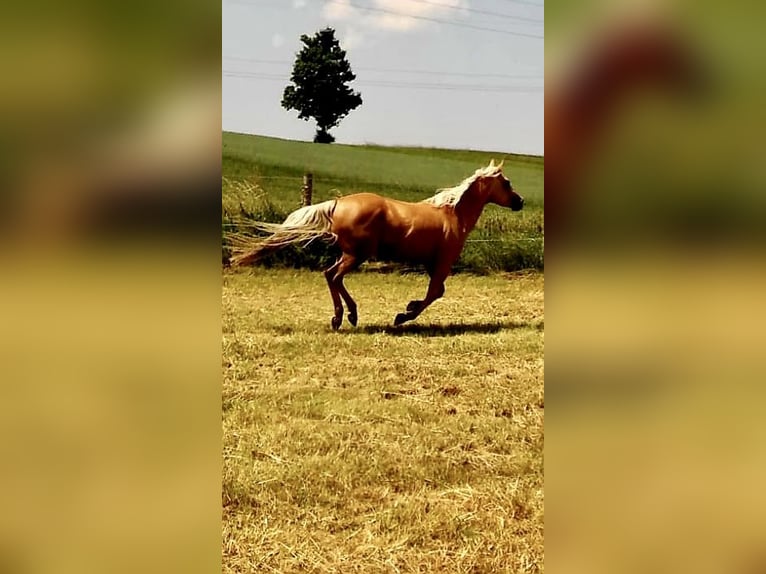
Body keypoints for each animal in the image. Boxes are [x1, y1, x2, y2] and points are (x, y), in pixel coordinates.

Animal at [231, 160, 524, 329]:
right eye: (507, 182)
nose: (520, 202)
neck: (452, 214)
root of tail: (337, 203)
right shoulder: (442, 263)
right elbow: (434, 293)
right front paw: (403, 315)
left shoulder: (432, 264)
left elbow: (436, 292)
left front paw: (406, 310)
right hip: (356, 255)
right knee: (334, 276)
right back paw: (345, 317)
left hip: (350, 254)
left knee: (330, 275)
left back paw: (346, 317)